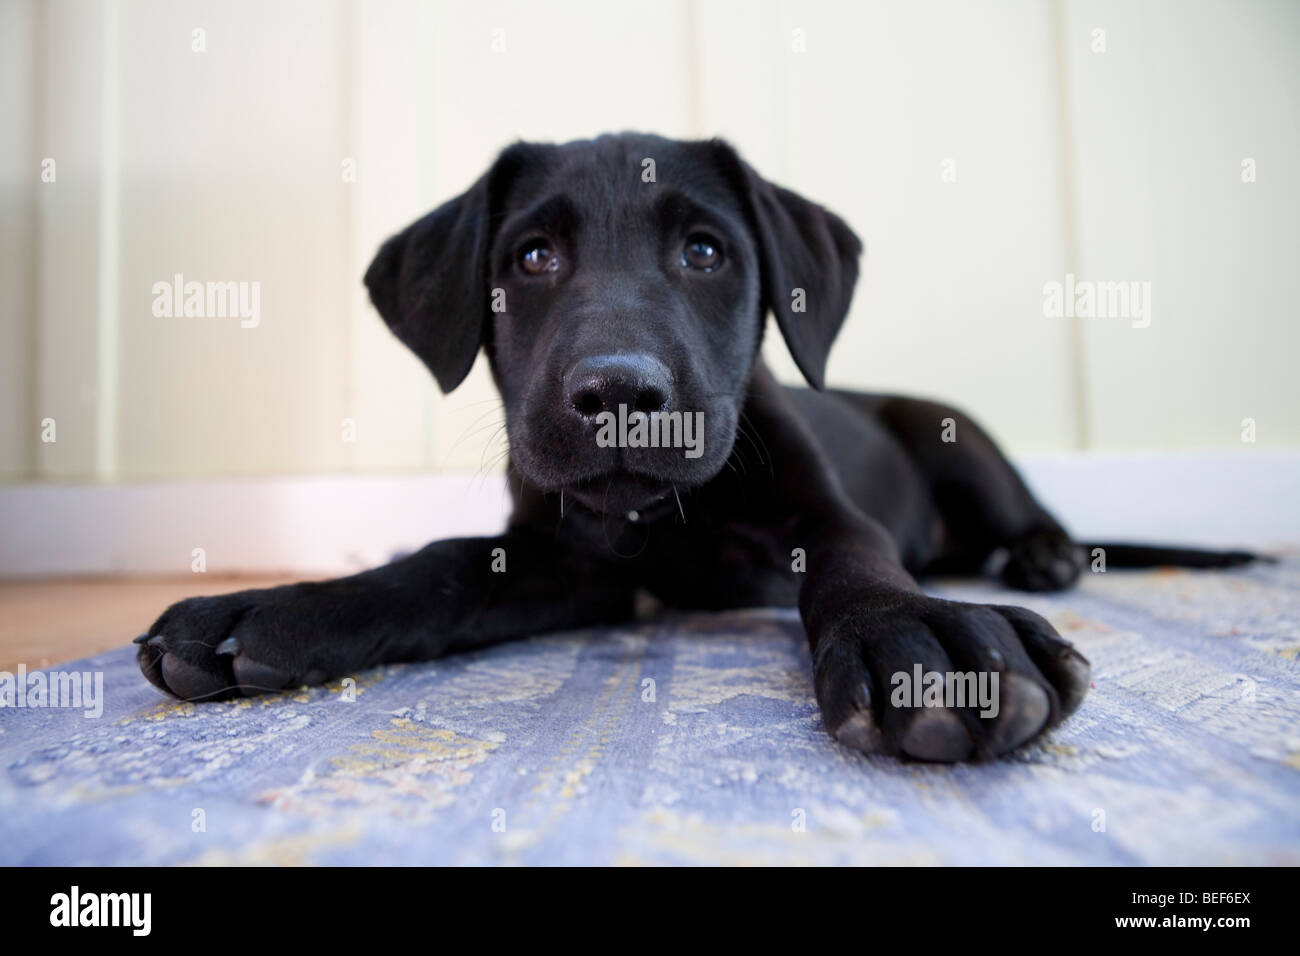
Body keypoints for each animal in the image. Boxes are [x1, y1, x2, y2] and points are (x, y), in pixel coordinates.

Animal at [134, 132, 1258, 764]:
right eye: (530, 257)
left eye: (706, 250)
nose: (618, 394)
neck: (660, 519)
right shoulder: (566, 564)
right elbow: (439, 567)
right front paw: (281, 608)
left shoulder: (819, 510)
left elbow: (854, 558)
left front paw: (922, 638)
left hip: (963, 443)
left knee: (1026, 512)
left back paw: (1041, 557)